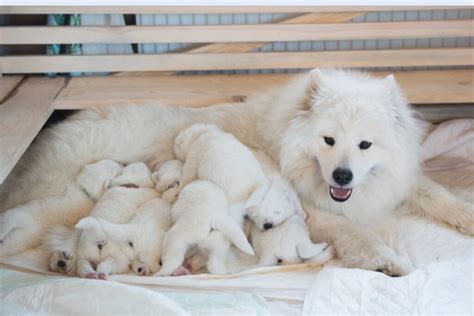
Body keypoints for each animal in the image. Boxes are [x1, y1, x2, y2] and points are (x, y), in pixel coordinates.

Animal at [1, 68, 472, 276]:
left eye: (364, 145)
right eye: (328, 140)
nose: (342, 177)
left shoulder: (397, 184)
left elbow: (439, 195)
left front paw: (466, 217)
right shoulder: (313, 210)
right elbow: (357, 235)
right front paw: (390, 262)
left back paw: (64, 258)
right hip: (58, 195)